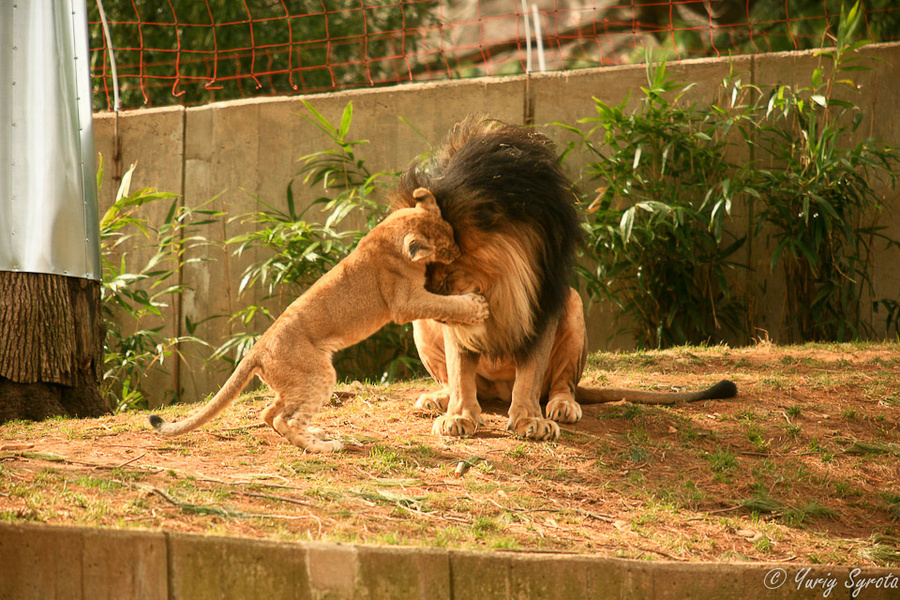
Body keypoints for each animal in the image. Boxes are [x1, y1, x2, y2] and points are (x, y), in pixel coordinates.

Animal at [390, 116, 736, 440]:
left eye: (445, 263)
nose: (430, 296)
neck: (498, 279)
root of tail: (499, 391)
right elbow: (461, 369)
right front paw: (459, 416)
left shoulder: (544, 297)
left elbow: (530, 373)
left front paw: (529, 419)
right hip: (425, 329)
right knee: (458, 380)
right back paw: (439, 399)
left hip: (573, 306)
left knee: (562, 384)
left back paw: (562, 406)